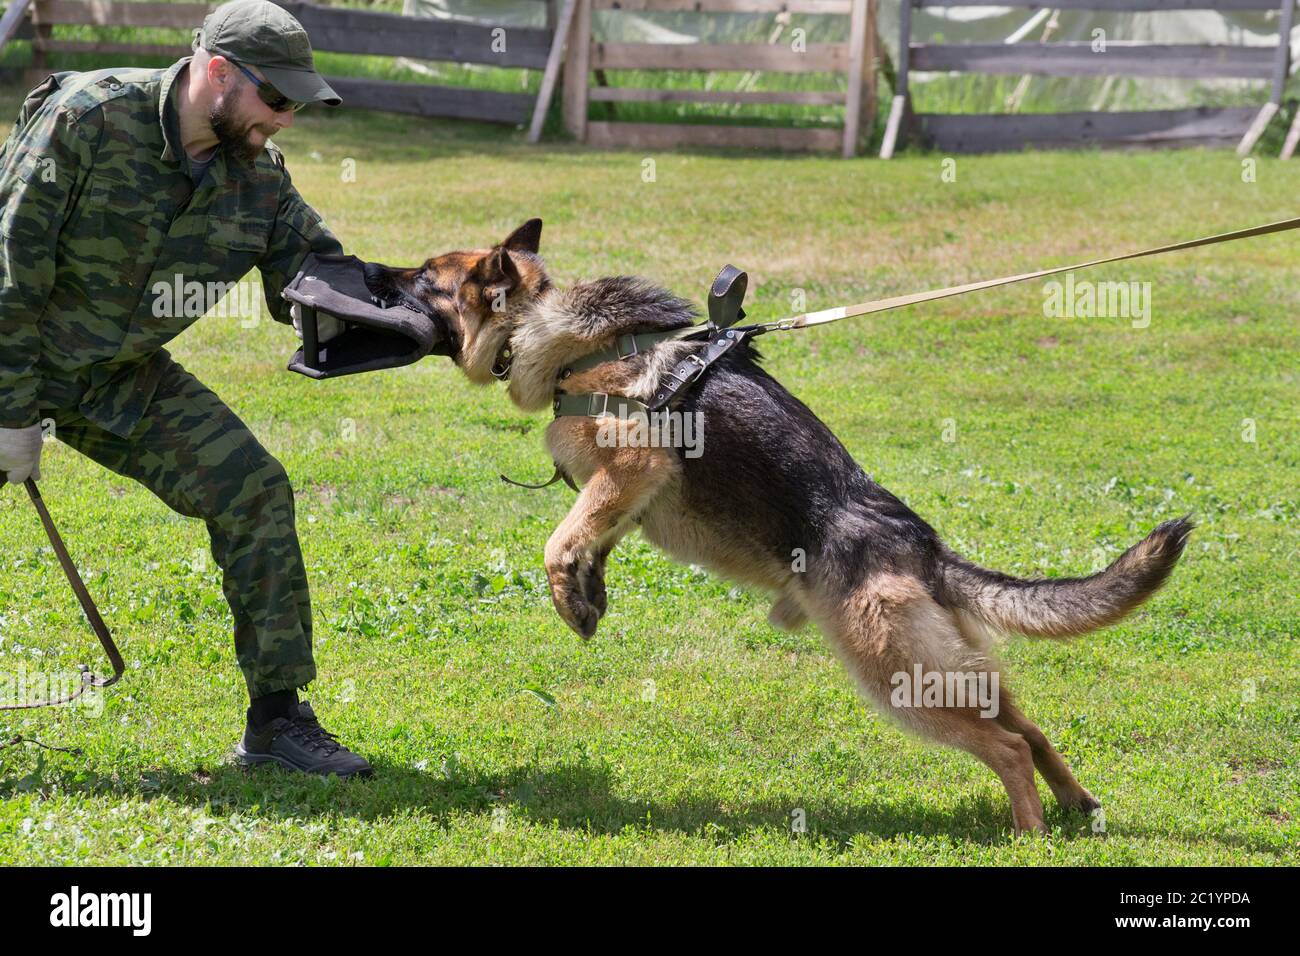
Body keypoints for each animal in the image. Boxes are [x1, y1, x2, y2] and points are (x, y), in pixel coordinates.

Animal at [364, 221, 1190, 832]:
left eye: (425, 277)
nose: (370, 275)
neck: (547, 328)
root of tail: (922, 546)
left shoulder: (632, 463)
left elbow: (560, 539)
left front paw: (570, 596)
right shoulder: (627, 497)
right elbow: (590, 539)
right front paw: (588, 596)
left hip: (897, 673)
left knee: (1009, 746)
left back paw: (1028, 836)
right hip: (950, 665)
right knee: (1032, 728)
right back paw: (1076, 807)